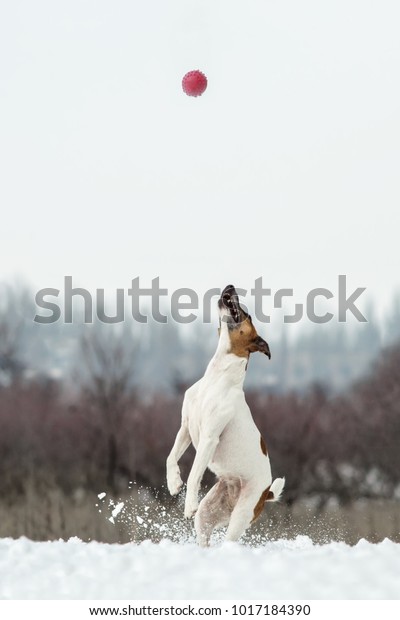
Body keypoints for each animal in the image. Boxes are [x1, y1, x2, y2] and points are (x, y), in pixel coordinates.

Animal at [166, 284, 284, 544]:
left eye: (247, 315)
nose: (230, 286)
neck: (217, 378)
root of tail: (266, 493)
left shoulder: (209, 438)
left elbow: (194, 475)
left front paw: (188, 503)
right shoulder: (185, 428)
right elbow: (170, 458)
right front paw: (174, 483)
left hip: (241, 515)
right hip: (207, 515)